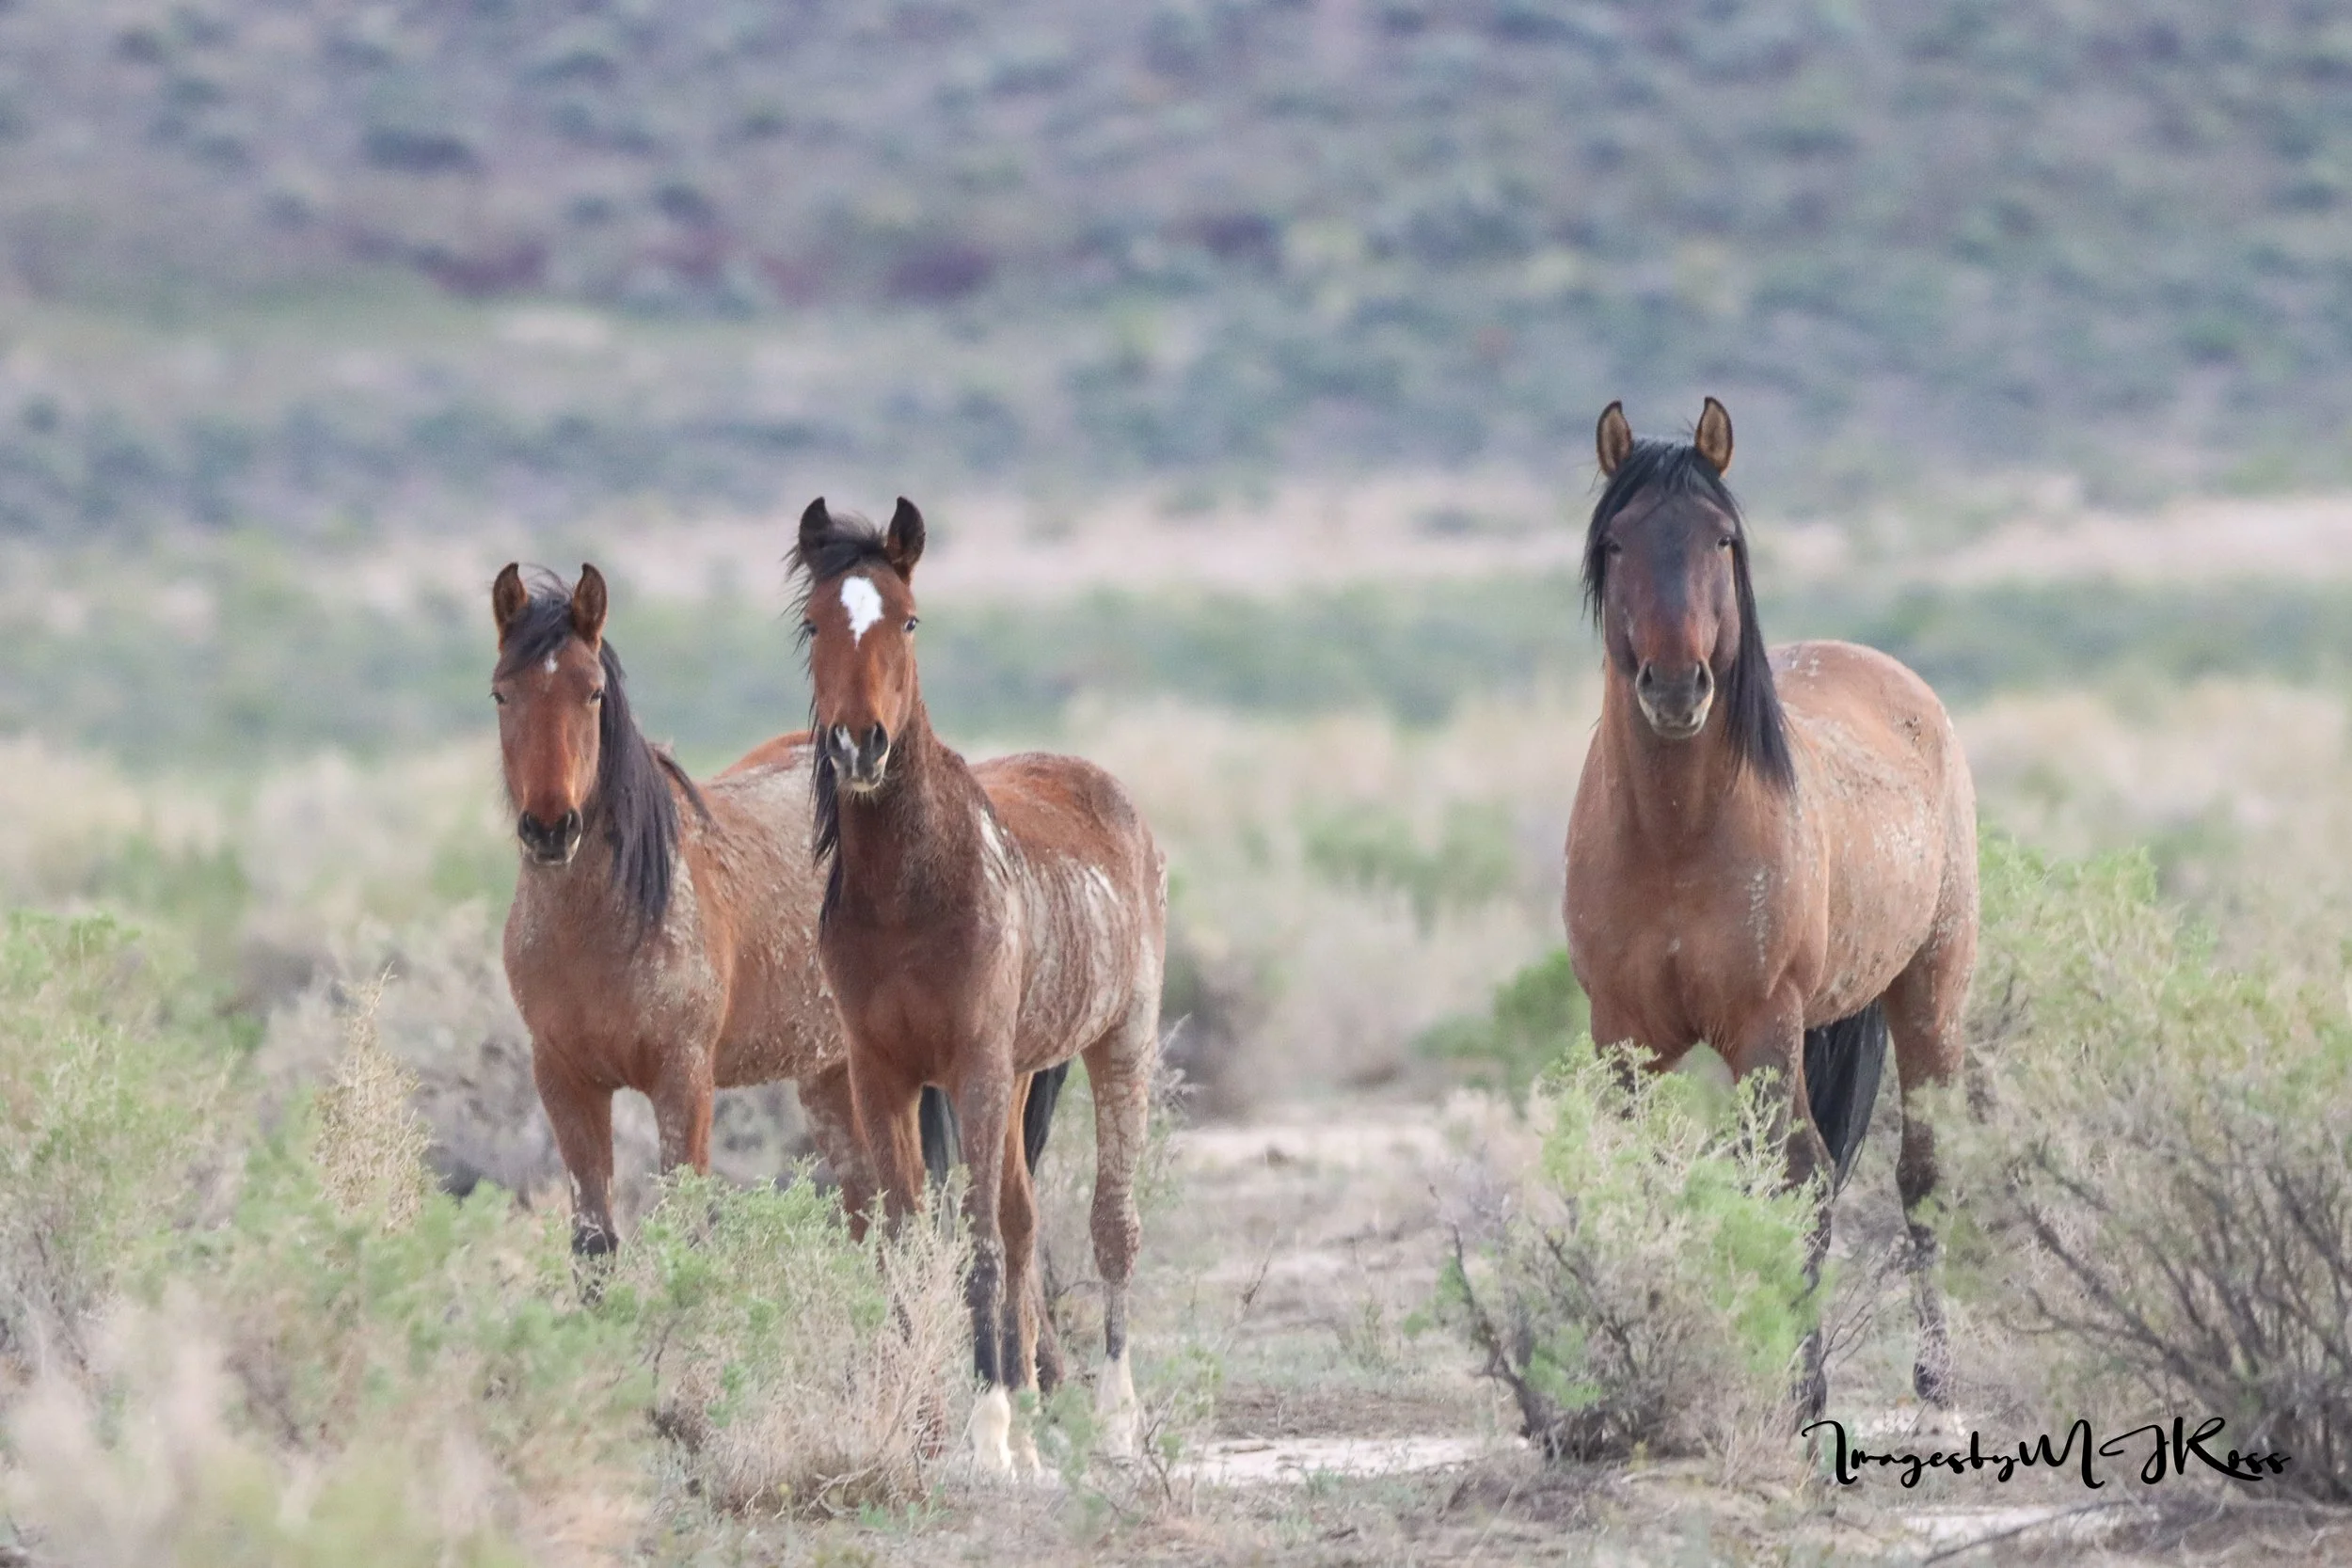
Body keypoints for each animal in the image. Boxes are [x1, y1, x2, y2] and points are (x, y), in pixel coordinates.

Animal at [491, 564, 1068, 1329]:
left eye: (592, 691)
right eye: (501, 691)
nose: (552, 827)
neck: (598, 927)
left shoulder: (684, 1079)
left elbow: (687, 1233)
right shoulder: (564, 1081)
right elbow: (594, 1246)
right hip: (833, 1080)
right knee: (874, 1221)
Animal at [791, 497, 1167, 1477]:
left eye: (908, 619)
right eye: (813, 623)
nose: (859, 745)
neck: (910, 891)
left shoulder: (974, 1067)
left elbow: (978, 1238)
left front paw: (987, 1428)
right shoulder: (881, 1075)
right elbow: (908, 1234)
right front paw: (927, 1418)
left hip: (1118, 1046)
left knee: (1112, 1222)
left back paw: (1114, 1420)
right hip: (1027, 1069)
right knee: (1027, 1216)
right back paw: (1038, 1423)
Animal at [1560, 400, 1977, 1421]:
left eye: (1722, 536)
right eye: (1618, 542)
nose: (1676, 685)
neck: (1674, 833)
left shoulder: (1761, 1025)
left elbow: (1793, 1178)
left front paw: (1799, 1388)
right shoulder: (1621, 1036)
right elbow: (1637, 1178)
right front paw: (1624, 1370)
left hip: (1929, 993)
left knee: (1917, 1175)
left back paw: (1934, 1376)